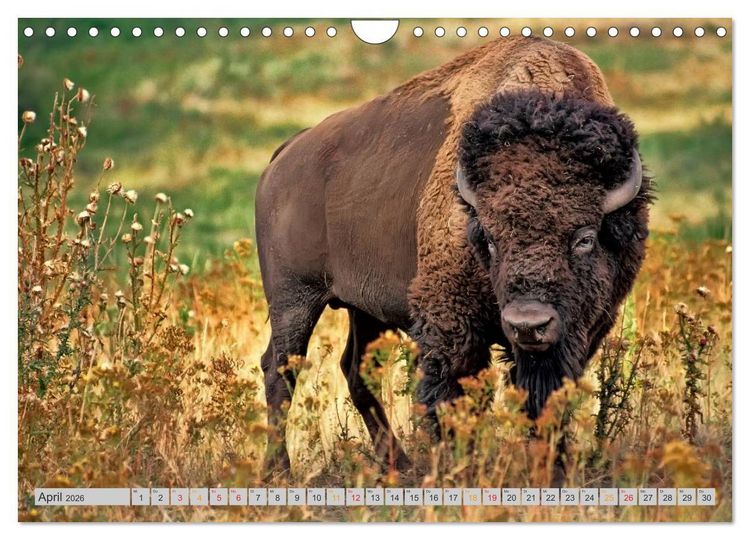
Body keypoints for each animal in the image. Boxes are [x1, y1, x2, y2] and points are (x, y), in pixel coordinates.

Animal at [255, 36, 651, 471]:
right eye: (490, 239)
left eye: (584, 238)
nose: (528, 324)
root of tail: (284, 156)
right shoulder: (451, 325)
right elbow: (451, 396)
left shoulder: (581, 332)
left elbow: (545, 398)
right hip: (294, 299)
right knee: (280, 369)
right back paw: (280, 469)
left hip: (363, 308)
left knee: (354, 369)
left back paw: (399, 463)